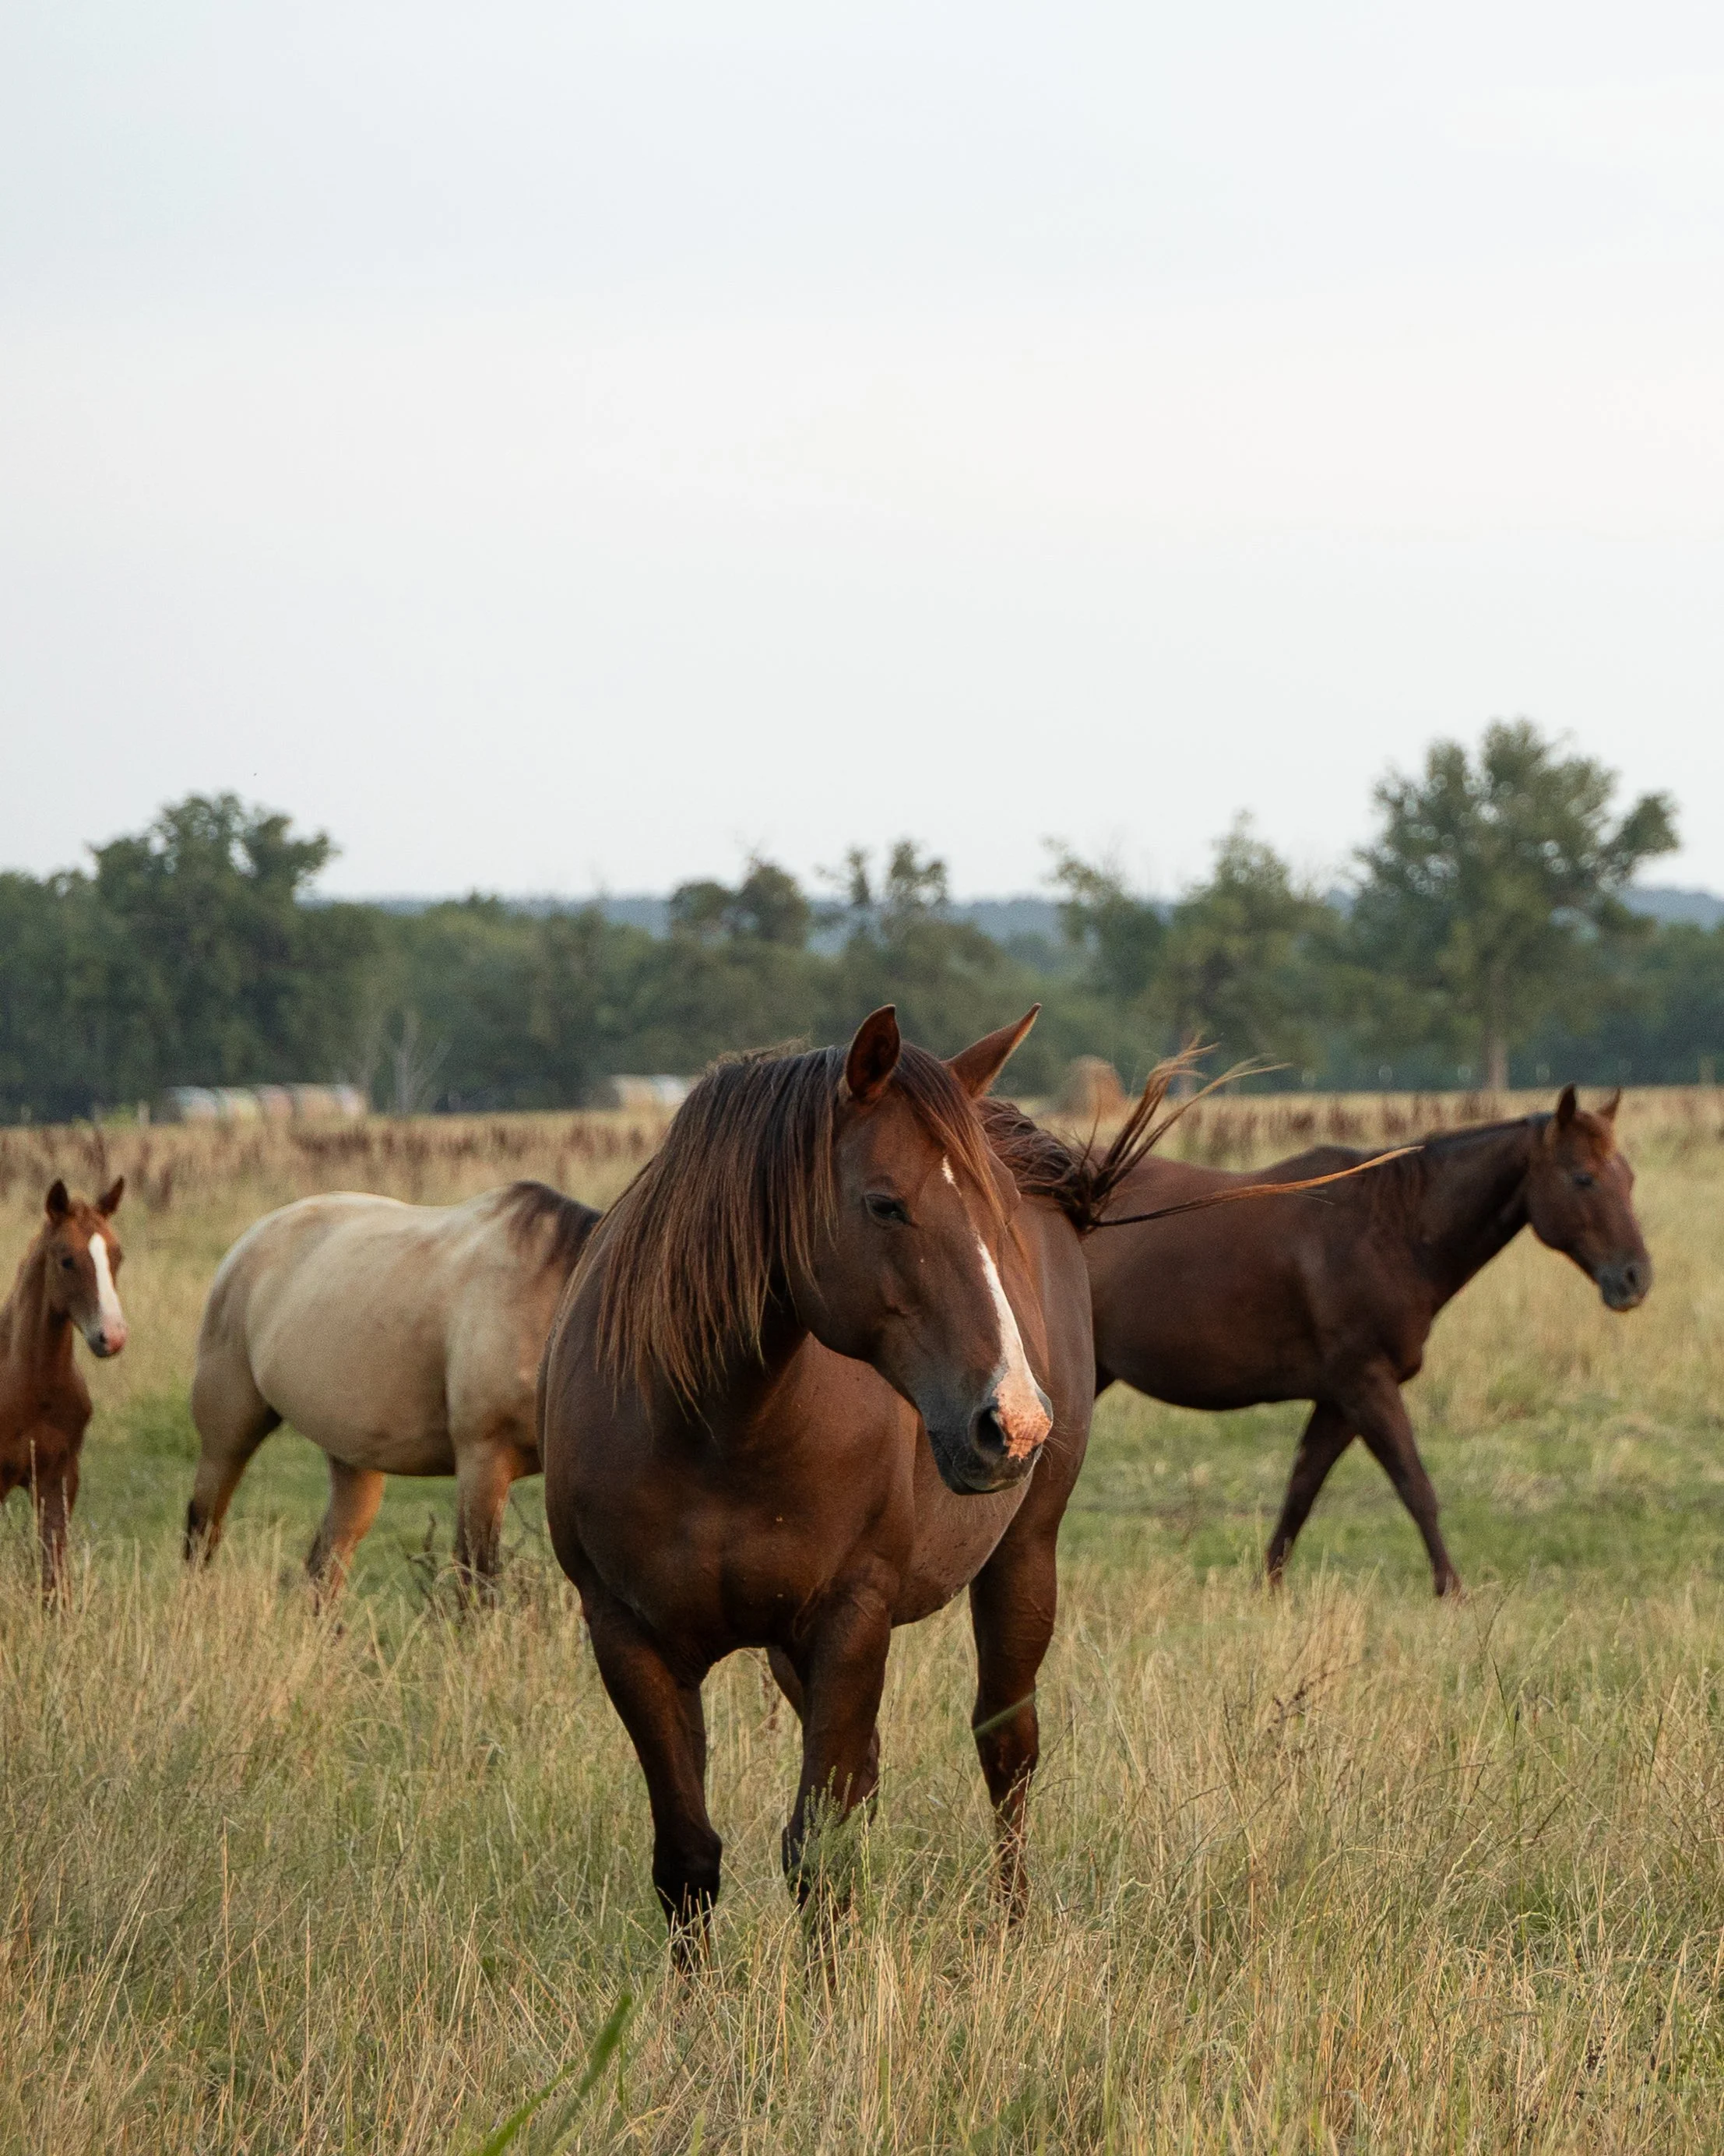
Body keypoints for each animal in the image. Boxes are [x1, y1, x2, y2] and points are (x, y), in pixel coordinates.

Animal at [187, 1180, 599, 1597]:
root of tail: (252, 1238)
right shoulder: (484, 1461)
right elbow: (477, 1580)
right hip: (228, 1436)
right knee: (202, 1532)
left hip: (353, 1461)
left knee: (325, 1567)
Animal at [539, 1006, 1177, 1951]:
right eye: (885, 1203)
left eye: (996, 1214)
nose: (1014, 1422)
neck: (718, 1426)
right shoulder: (629, 1638)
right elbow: (688, 1860)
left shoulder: (850, 1617)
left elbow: (820, 1855)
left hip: (1023, 1557)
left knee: (1007, 1747)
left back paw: (1012, 1926)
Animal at [1083, 1085, 1652, 1596]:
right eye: (1583, 1178)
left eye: (1629, 1178)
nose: (1635, 1279)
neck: (1389, 1230)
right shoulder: (1366, 1385)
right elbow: (1415, 1487)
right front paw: (1451, 1591)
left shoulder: (1338, 1401)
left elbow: (1301, 1490)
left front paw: (1269, 1590)